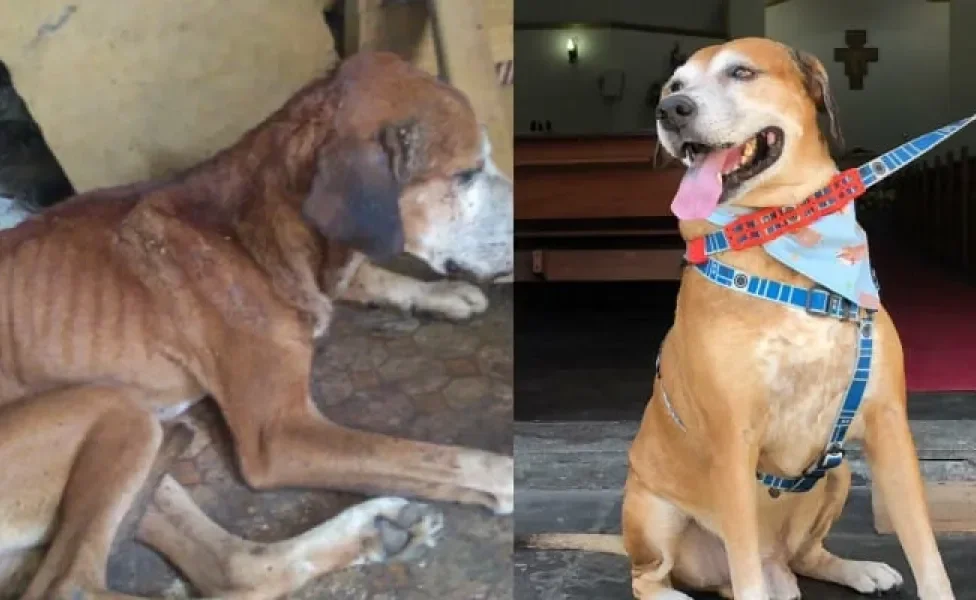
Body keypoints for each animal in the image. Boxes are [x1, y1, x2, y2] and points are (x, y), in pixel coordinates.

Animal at [0, 52, 516, 600]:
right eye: (467, 174)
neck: (256, 227)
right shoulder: (280, 435)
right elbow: (423, 455)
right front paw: (508, 473)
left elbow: (367, 272)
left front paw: (442, 293)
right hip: (115, 408)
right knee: (70, 583)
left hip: (138, 444)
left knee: (230, 569)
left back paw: (376, 531)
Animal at [524, 38, 956, 600]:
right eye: (675, 86)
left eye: (742, 73)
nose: (672, 111)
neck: (783, 230)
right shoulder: (733, 442)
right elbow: (744, 570)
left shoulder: (888, 424)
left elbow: (926, 549)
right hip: (652, 509)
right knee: (652, 578)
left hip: (836, 476)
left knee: (806, 555)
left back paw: (857, 569)